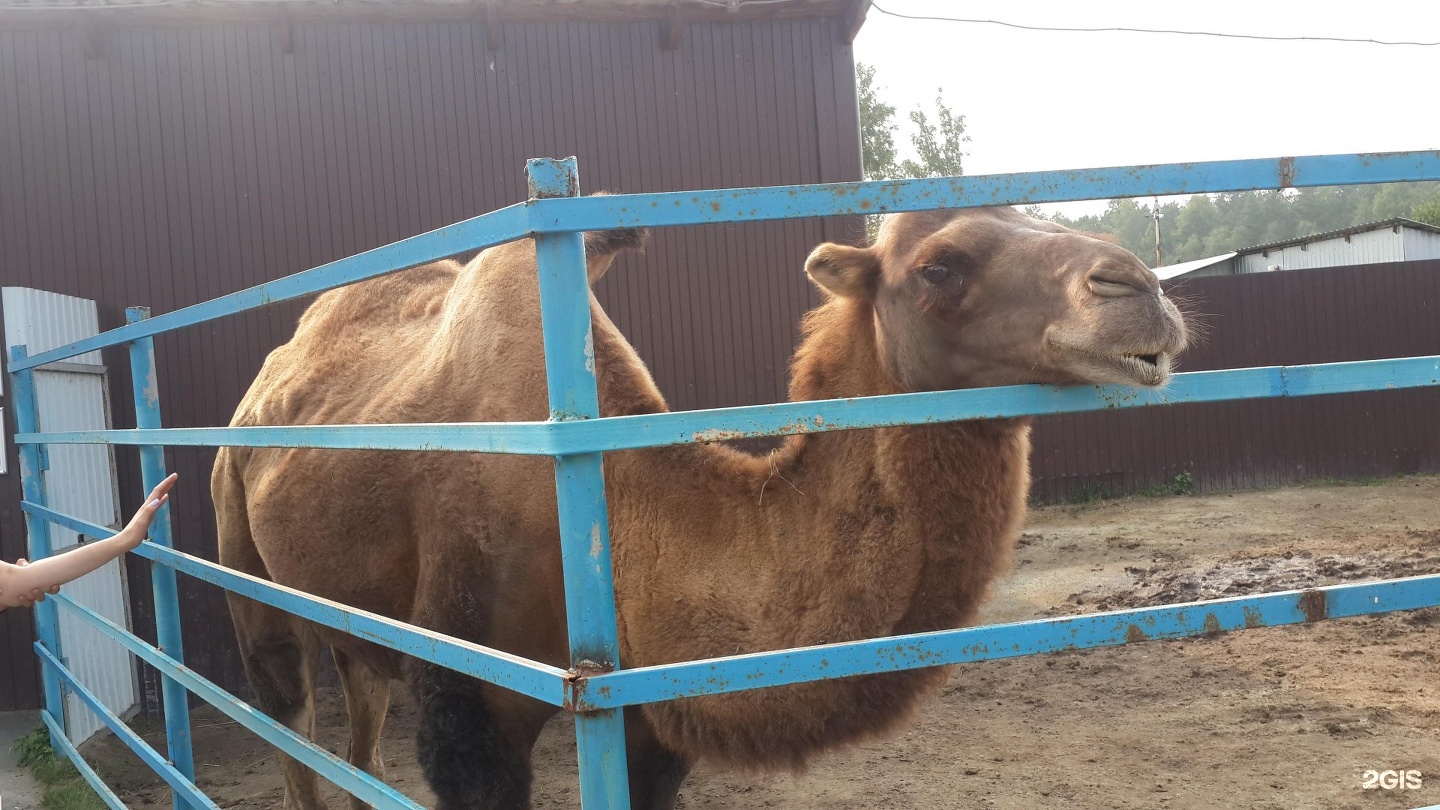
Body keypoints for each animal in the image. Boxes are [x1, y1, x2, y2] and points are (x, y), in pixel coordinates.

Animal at [210, 204, 1180, 801]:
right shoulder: (469, 714)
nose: (1139, 288)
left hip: (354, 616)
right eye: (938, 267)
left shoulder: (649, 720)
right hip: (237, 543)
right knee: (288, 721)